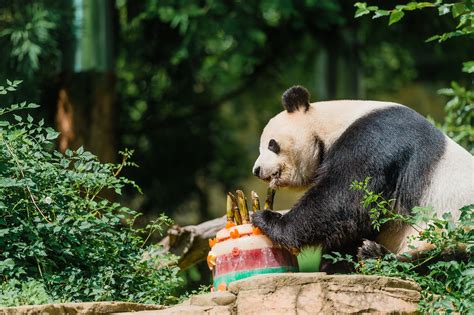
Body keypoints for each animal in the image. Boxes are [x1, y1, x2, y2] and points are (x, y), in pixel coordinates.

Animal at [250, 85, 472, 260]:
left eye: (272, 144)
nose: (257, 170)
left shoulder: (377, 140)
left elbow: (344, 197)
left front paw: (268, 220)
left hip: (451, 231)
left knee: (441, 259)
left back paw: (374, 254)